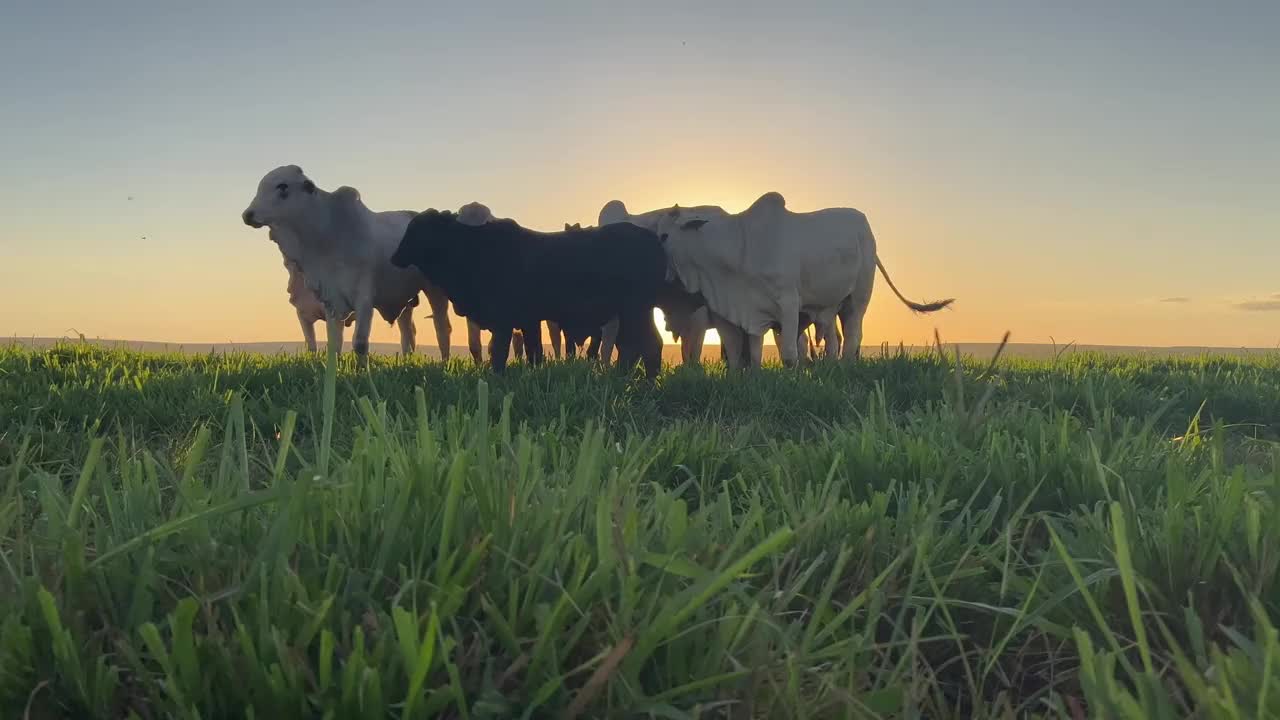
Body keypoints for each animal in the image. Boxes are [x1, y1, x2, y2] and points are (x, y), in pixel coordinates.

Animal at [240, 165, 455, 361]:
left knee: (442, 327)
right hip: (404, 299)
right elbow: (334, 343)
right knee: (408, 332)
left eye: (282, 186)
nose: (247, 215)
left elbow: (359, 343)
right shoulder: (330, 298)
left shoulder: (364, 297)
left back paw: (444, 364)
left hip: (435, 289)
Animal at [389, 207, 665, 376]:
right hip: (632, 313)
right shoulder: (529, 320)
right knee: (631, 346)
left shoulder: (505, 321)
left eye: (419, 230)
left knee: (649, 343)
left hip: (636, 309)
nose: (395, 257)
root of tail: (654, 240)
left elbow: (500, 354)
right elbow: (534, 354)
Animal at [660, 190, 952, 366]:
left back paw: (847, 366)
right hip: (833, 306)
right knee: (835, 338)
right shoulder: (751, 310)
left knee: (853, 333)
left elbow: (790, 354)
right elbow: (752, 353)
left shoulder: (788, 303)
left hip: (858, 296)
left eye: (665, 235)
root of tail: (865, 227)